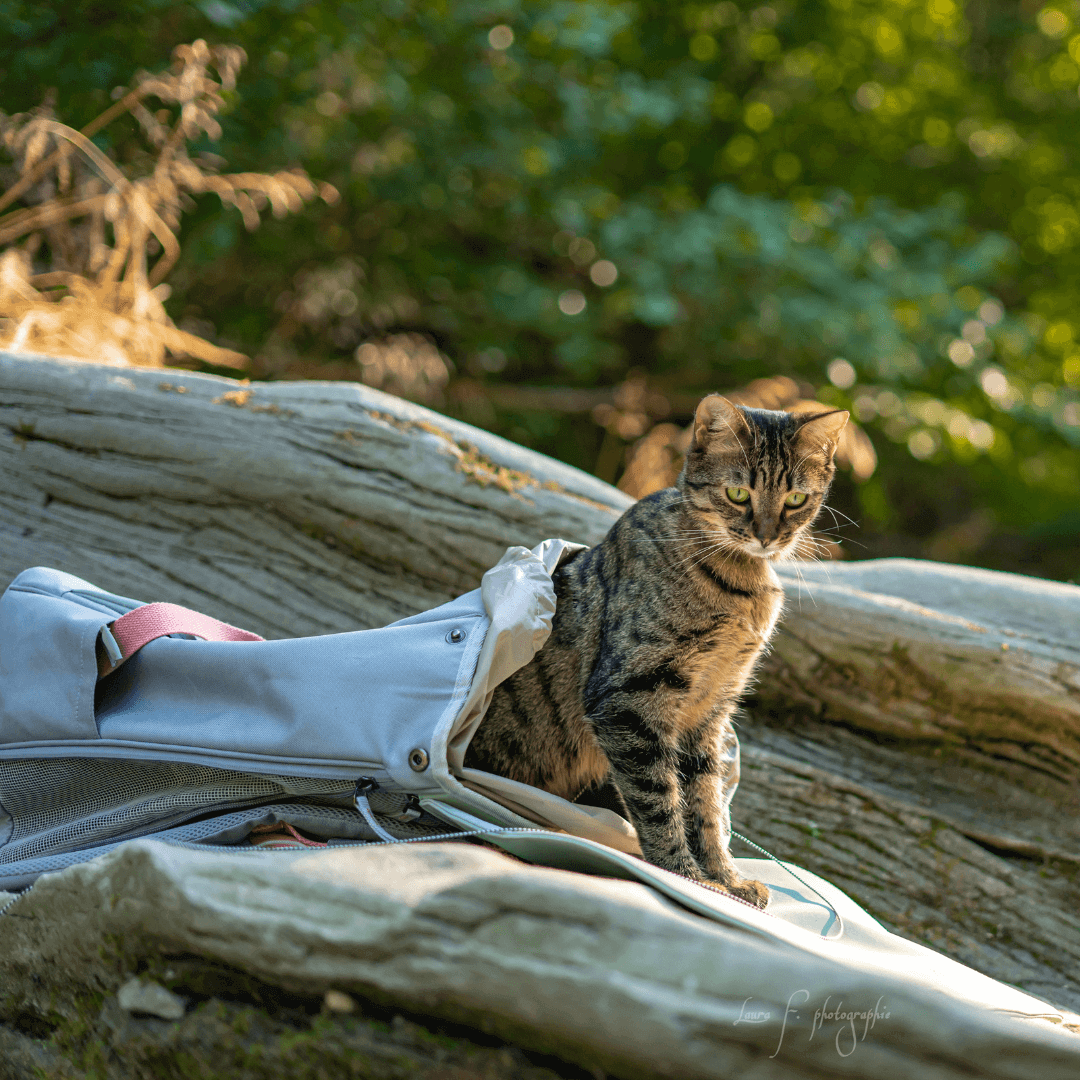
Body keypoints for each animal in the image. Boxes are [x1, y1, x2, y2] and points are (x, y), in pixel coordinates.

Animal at [468, 393, 846, 907]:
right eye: (738, 494)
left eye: (795, 500)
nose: (767, 536)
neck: (741, 583)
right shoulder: (628, 699)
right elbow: (659, 801)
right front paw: (685, 875)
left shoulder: (710, 711)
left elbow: (705, 803)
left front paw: (725, 878)